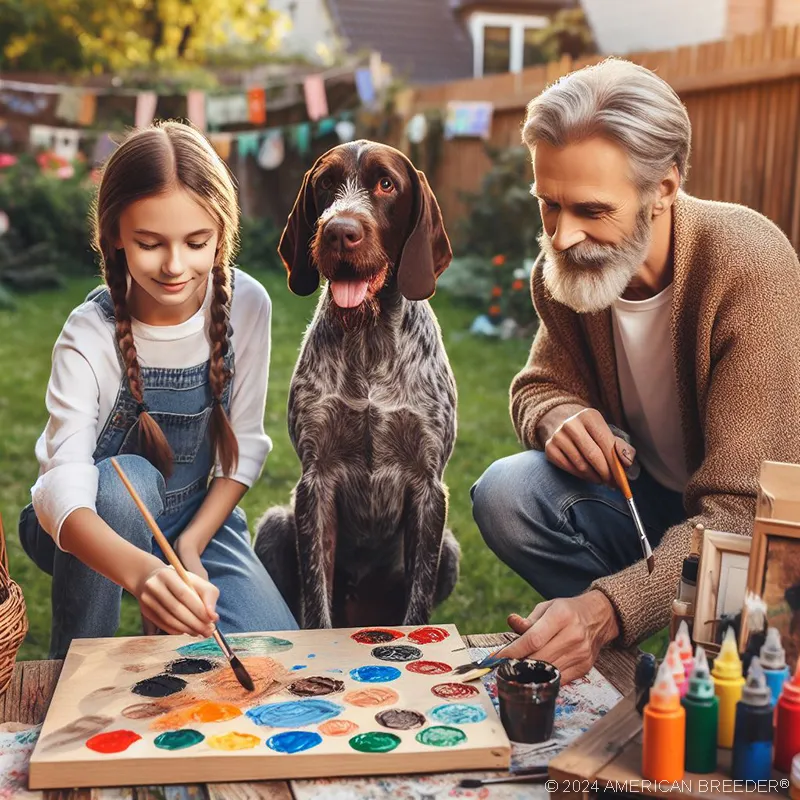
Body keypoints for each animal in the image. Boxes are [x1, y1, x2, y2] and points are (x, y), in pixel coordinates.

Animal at [253, 141, 460, 628]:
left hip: (450, 550)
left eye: (386, 184)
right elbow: (316, 601)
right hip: (274, 525)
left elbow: (417, 607)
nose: (339, 232)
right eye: (326, 183)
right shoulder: (316, 482)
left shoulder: (429, 486)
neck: (369, 339)